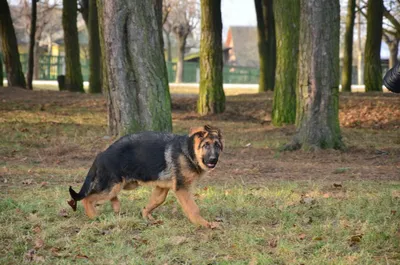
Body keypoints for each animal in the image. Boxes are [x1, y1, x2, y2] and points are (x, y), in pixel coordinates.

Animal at [69, 124, 225, 227]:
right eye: (206, 145)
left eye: (217, 146)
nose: (213, 160)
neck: (188, 151)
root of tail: (101, 155)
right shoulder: (182, 189)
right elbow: (193, 209)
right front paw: (205, 224)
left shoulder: (162, 187)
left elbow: (156, 201)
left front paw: (146, 216)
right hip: (113, 186)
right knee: (88, 198)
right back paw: (94, 216)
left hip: (122, 185)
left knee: (109, 198)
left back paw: (116, 207)